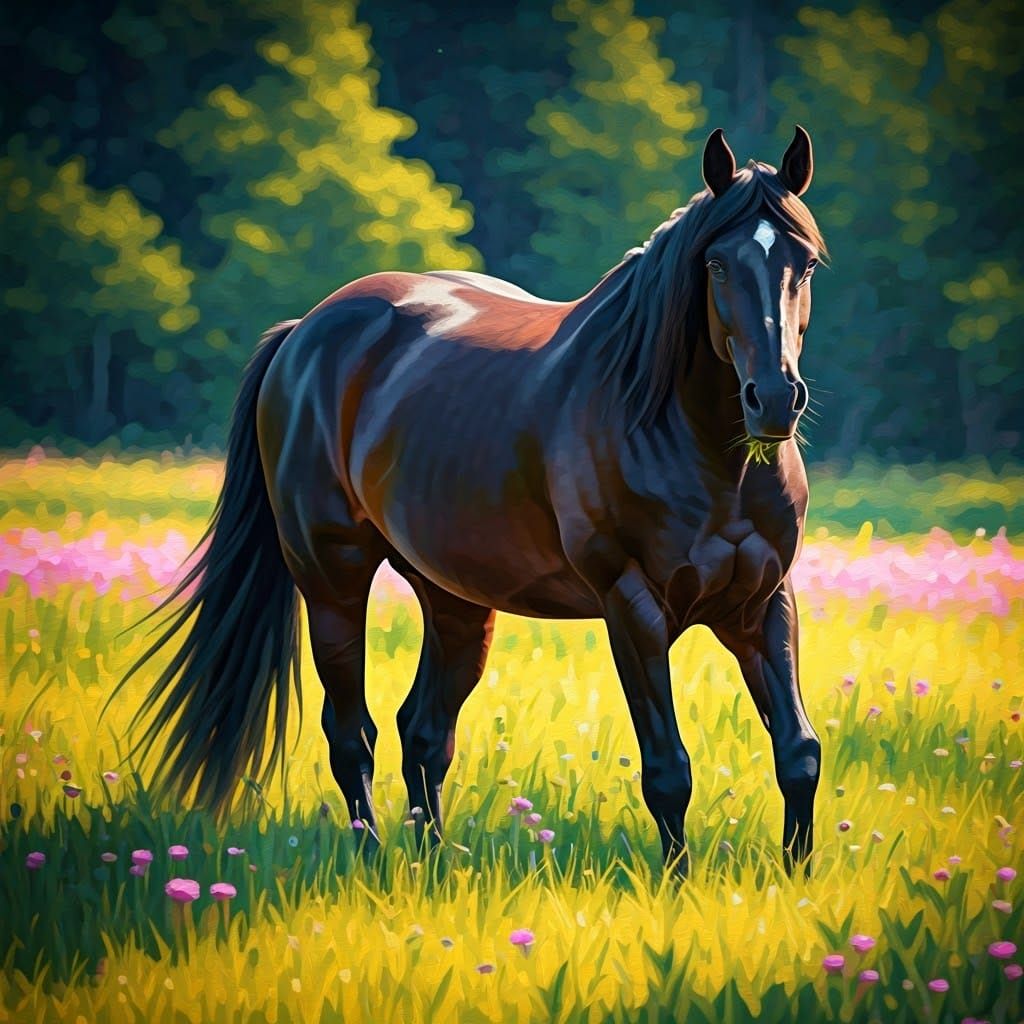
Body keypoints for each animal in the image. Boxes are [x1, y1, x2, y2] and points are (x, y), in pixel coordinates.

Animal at [116, 127, 826, 878]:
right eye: (716, 265)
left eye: (805, 265)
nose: (773, 399)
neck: (705, 453)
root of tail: (304, 332)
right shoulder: (632, 607)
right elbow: (668, 769)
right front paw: (676, 887)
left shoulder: (761, 603)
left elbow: (799, 753)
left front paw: (798, 880)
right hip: (332, 578)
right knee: (352, 732)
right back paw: (373, 860)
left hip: (454, 596)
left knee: (423, 732)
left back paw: (430, 861)